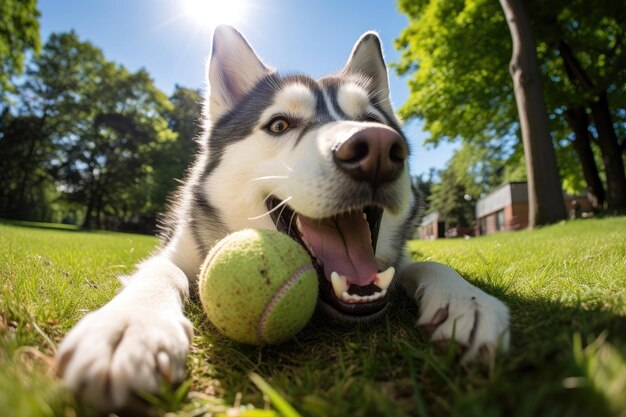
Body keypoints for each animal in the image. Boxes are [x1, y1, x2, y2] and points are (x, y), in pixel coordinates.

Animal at [56, 26, 510, 410]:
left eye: (372, 121)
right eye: (279, 124)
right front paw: (130, 325)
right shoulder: (177, 251)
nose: (379, 149)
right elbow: (160, 272)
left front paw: (466, 301)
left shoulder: (395, 264)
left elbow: (427, 264)